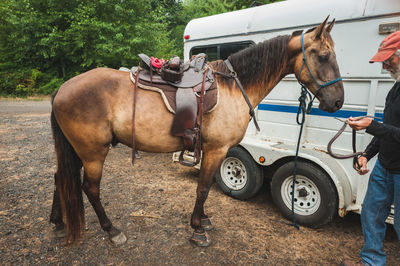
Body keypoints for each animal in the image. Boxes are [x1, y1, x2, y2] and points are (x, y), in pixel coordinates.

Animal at [49, 18, 344, 247]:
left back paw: (58, 224)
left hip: (77, 150)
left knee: (60, 178)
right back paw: (112, 230)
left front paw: (202, 221)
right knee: (90, 188)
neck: (234, 87)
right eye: (323, 56)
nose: (338, 102)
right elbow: (203, 189)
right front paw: (198, 228)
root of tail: (62, 89)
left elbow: (205, 188)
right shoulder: (216, 150)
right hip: (92, 153)